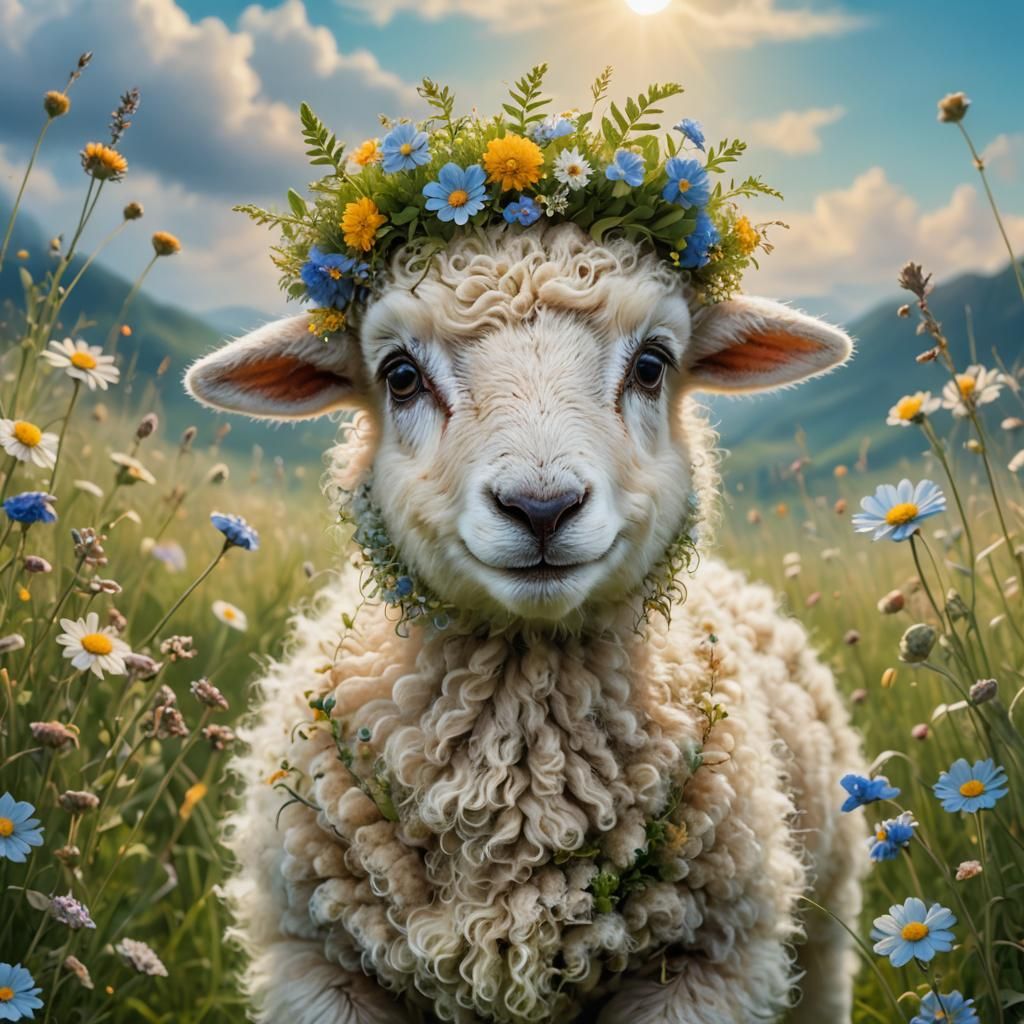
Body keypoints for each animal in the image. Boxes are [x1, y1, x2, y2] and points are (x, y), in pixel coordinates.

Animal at [185, 223, 866, 1024]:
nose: (542, 508)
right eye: (401, 376)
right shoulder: (315, 964)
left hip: (825, 936)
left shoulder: (706, 969)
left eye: (652, 366)